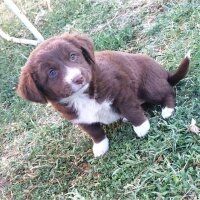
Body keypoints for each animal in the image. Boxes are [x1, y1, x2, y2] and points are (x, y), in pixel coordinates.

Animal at [16, 32, 190, 157]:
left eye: (73, 56)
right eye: (52, 73)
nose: (78, 78)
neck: (82, 95)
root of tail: (165, 73)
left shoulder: (122, 91)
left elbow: (131, 110)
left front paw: (141, 127)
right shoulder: (78, 118)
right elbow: (94, 131)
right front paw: (100, 146)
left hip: (149, 85)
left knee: (167, 91)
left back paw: (167, 109)